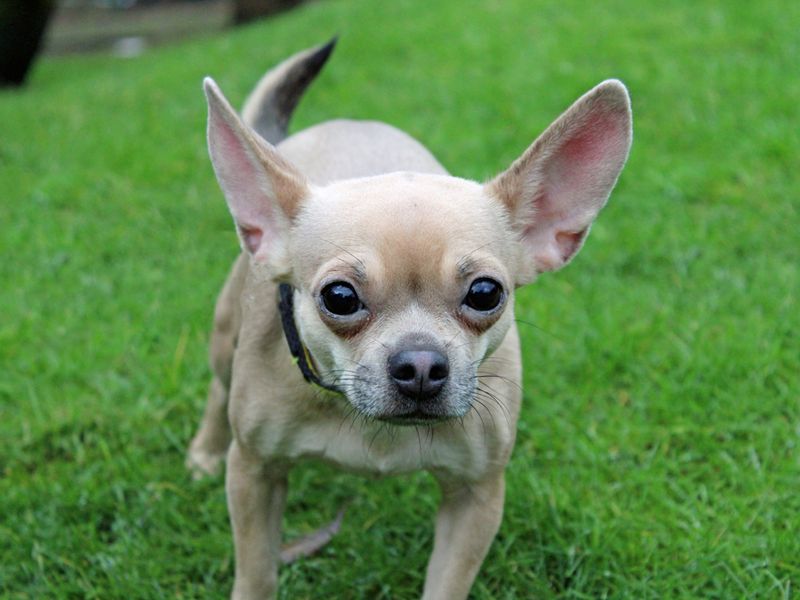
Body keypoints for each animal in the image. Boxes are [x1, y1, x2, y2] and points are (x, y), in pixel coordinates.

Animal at [186, 39, 632, 596]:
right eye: (339, 297)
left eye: (486, 293)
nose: (420, 364)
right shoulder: (254, 474)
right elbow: (257, 571)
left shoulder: (476, 495)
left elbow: (447, 582)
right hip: (226, 337)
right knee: (217, 386)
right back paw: (204, 452)